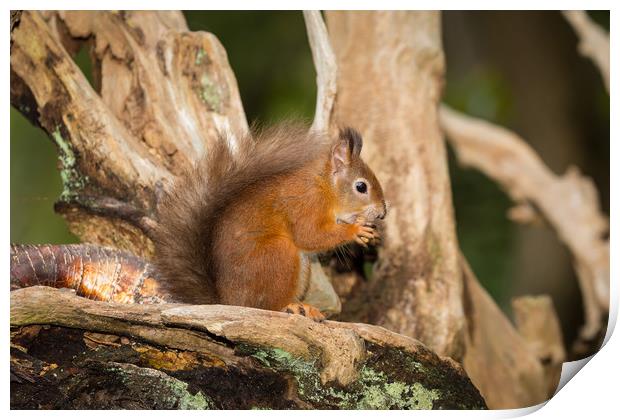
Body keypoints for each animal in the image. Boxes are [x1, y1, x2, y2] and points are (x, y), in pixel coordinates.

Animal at [153, 123, 386, 320]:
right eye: (361, 187)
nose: (383, 213)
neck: (325, 187)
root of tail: (229, 301)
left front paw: (372, 235)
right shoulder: (305, 203)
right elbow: (309, 235)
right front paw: (355, 231)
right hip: (278, 254)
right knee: (266, 305)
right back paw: (292, 307)